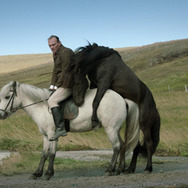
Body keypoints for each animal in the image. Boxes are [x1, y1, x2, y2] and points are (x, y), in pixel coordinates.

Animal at [0, 81, 139, 180]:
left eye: (7, 97)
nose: (1, 115)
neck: (43, 107)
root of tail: (122, 99)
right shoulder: (45, 136)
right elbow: (44, 154)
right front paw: (37, 173)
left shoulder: (52, 134)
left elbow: (51, 154)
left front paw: (48, 174)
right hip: (115, 129)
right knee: (122, 145)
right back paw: (119, 169)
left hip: (111, 129)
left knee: (116, 146)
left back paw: (109, 170)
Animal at [74, 43, 160, 174]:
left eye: (76, 82)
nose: (78, 102)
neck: (101, 60)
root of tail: (155, 109)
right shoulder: (94, 84)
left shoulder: (103, 84)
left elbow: (95, 101)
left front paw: (94, 120)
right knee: (136, 146)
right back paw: (129, 169)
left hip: (144, 125)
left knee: (149, 144)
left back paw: (148, 168)